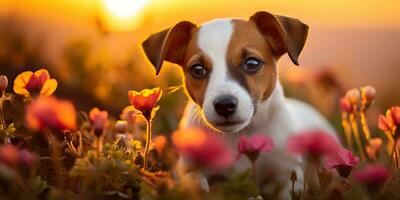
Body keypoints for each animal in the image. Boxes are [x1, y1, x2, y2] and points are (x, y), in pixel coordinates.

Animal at [142, 11, 336, 200]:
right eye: (197, 69)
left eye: (252, 63)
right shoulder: (185, 166)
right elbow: (192, 177)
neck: (239, 135)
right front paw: (199, 187)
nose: (224, 105)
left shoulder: (287, 172)